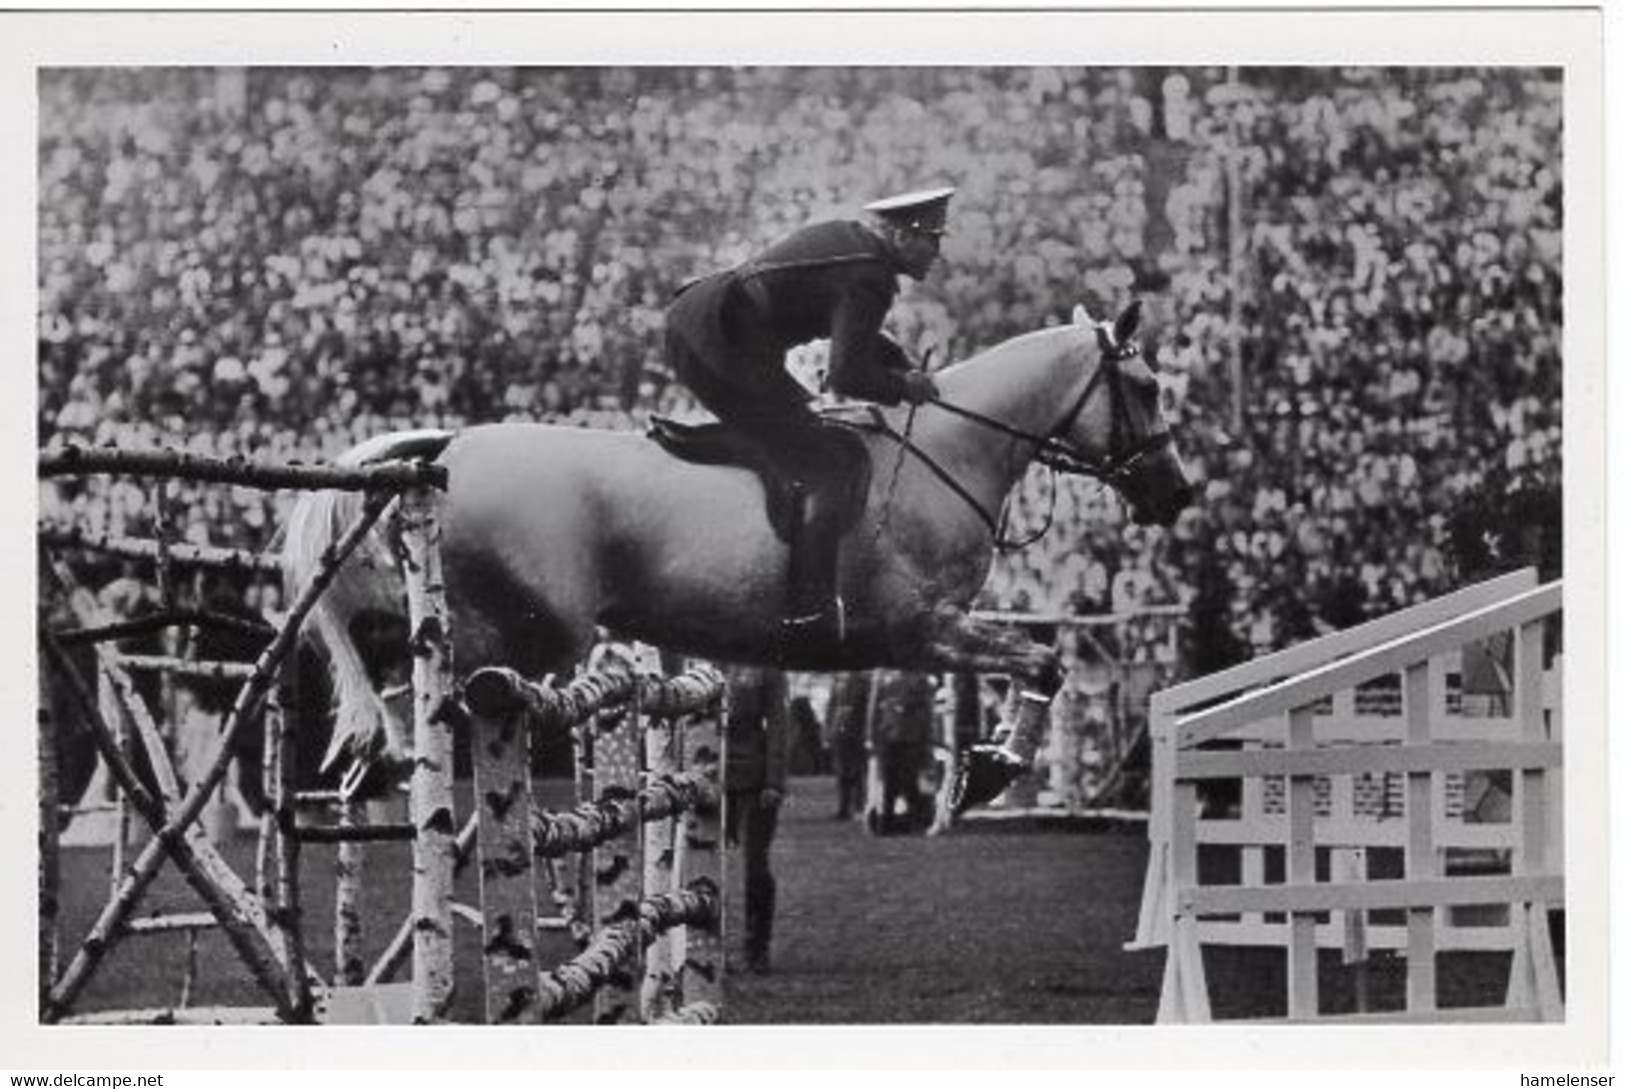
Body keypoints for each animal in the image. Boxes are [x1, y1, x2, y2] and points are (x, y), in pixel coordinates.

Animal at [279, 302, 1196, 815]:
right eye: (1148, 388)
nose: (1176, 494)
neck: (951, 449)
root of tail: (449, 446)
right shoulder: (921, 631)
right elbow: (1042, 662)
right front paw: (992, 771)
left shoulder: (932, 636)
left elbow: (1036, 663)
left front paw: (986, 766)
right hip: (527, 636)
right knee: (417, 684)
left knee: (392, 676)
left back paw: (375, 768)